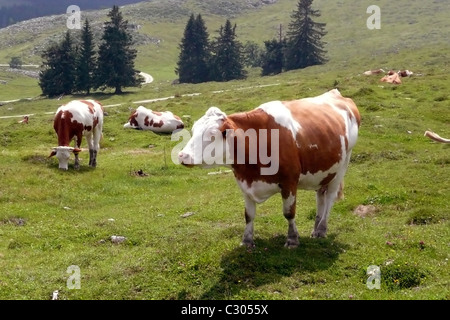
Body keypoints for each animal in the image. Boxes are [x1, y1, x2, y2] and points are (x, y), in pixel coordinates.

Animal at [178, 89, 362, 248]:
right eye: (193, 130)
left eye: (213, 134)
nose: (182, 155)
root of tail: (336, 94)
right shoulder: (245, 184)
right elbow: (249, 215)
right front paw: (247, 241)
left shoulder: (289, 182)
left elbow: (289, 213)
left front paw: (292, 240)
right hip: (324, 170)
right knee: (320, 196)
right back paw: (316, 228)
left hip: (343, 164)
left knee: (330, 197)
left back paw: (322, 229)